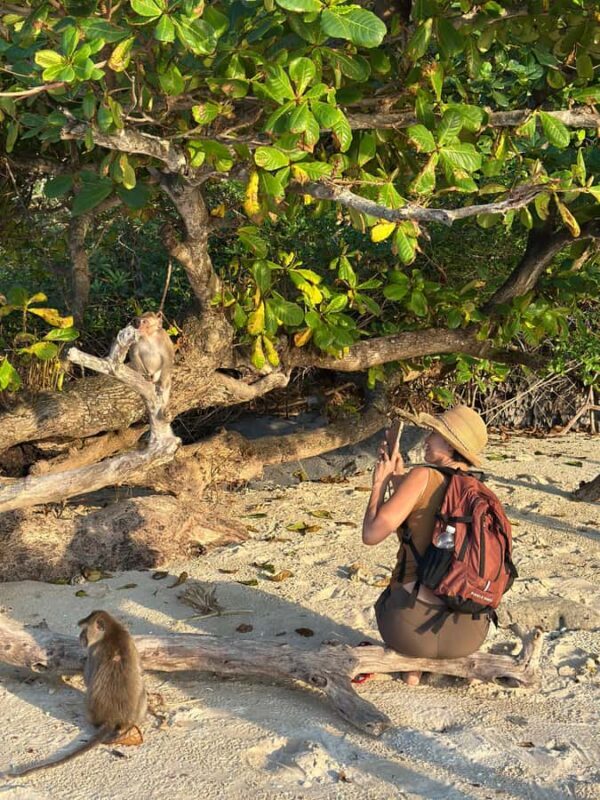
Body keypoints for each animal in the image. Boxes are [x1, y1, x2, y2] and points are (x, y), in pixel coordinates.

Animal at [9, 611, 147, 778]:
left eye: (85, 629)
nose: (80, 637)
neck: (112, 631)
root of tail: (112, 719)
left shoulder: (94, 650)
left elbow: (88, 678)